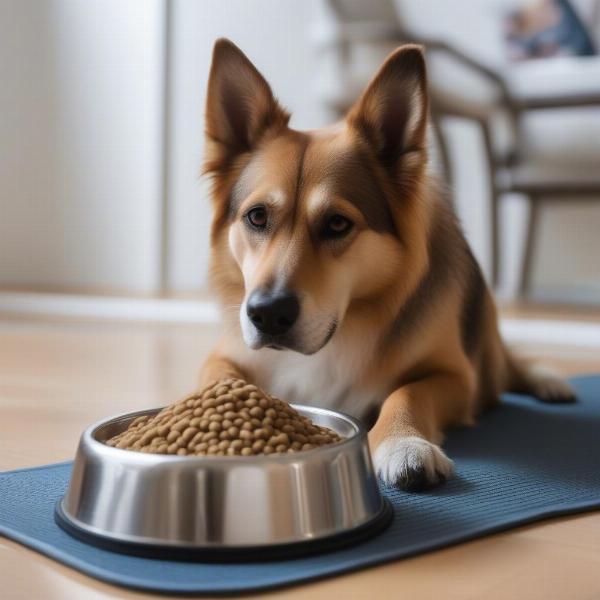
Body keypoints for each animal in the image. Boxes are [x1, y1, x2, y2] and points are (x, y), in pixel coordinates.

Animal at [198, 37, 576, 490]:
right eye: (257, 217)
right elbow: (220, 383)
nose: (267, 314)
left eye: (337, 223)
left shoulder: (456, 376)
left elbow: (407, 392)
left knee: (507, 366)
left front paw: (403, 444)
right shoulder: (223, 354)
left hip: (485, 349)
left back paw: (547, 380)